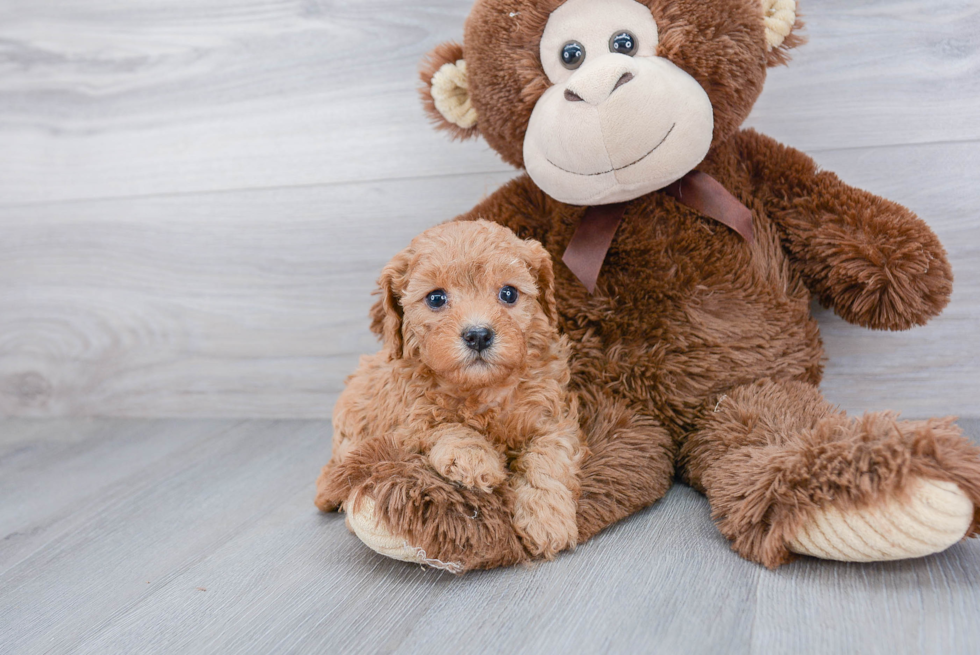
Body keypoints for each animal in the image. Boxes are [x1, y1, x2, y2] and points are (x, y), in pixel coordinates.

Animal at [318, 220, 584, 564]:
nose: (478, 334)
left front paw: (547, 519)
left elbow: (547, 460)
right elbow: (444, 425)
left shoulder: (552, 417)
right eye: (436, 298)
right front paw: (473, 458)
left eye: (508, 293)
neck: (483, 388)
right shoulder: (410, 418)